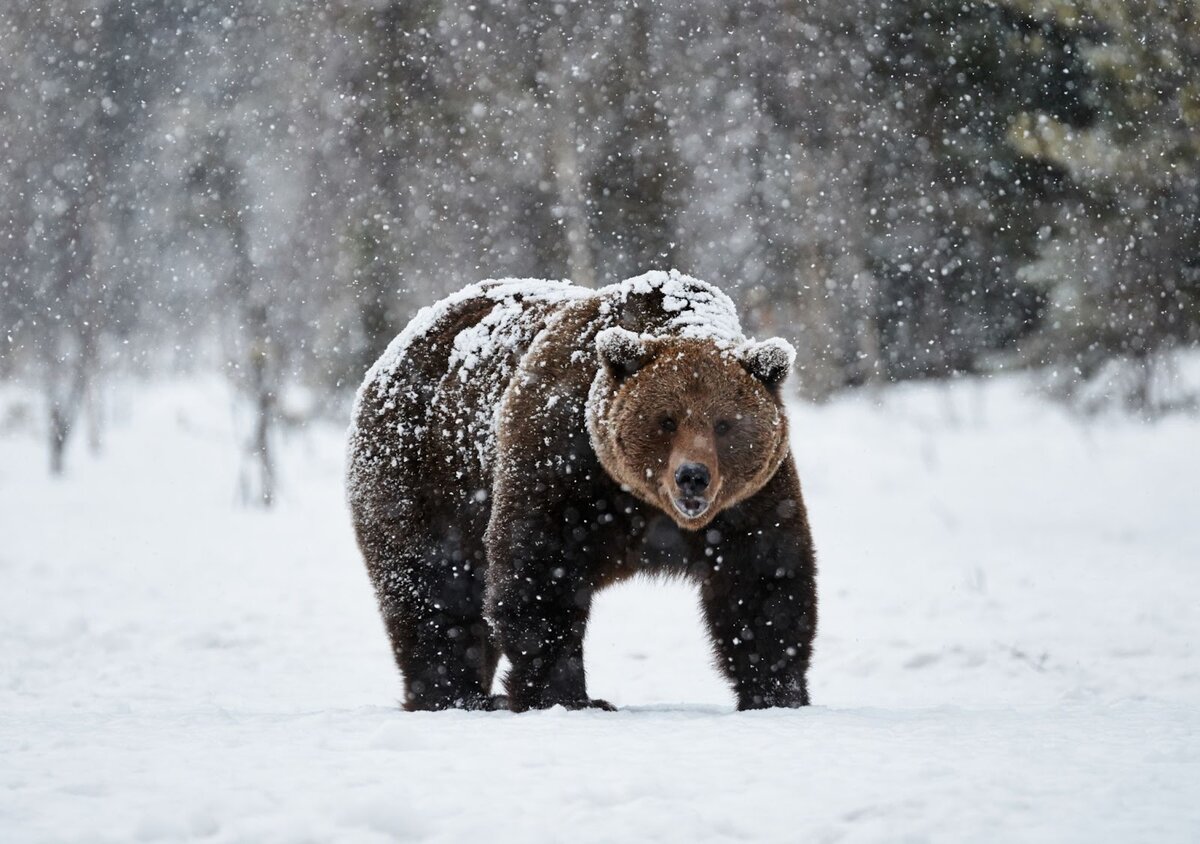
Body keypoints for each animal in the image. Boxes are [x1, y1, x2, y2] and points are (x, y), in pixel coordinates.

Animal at [345, 271, 816, 710]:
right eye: (666, 420)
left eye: (724, 424)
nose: (692, 476)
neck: (644, 503)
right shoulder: (562, 463)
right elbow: (539, 575)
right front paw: (567, 696)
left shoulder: (751, 499)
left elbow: (764, 581)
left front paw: (777, 693)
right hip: (424, 473)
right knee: (434, 588)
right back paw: (456, 695)